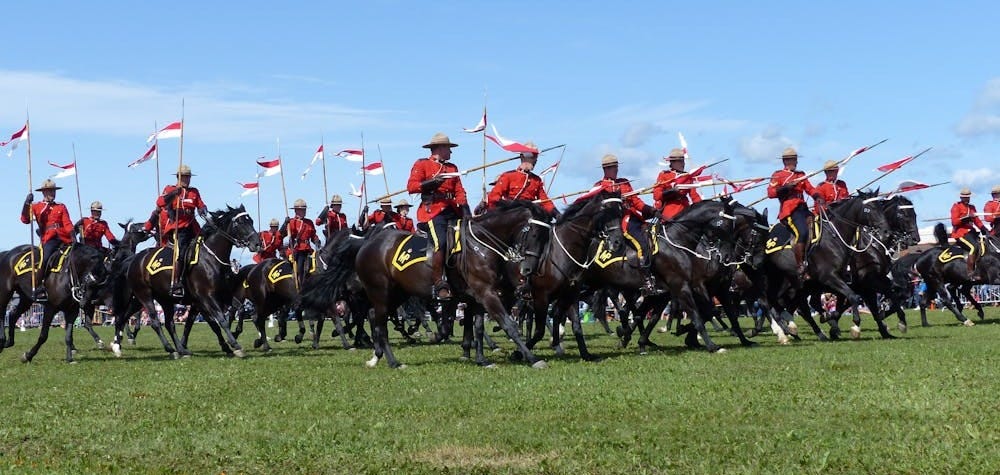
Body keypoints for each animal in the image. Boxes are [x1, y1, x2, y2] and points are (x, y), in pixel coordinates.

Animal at [108, 206, 262, 358]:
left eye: (251, 221)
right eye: (240, 223)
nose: (257, 244)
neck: (211, 259)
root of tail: (134, 259)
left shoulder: (218, 296)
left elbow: (237, 310)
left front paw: (232, 337)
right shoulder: (206, 298)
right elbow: (219, 320)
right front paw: (235, 345)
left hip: (160, 300)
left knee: (161, 323)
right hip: (144, 296)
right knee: (153, 322)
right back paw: (168, 348)